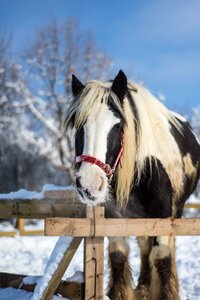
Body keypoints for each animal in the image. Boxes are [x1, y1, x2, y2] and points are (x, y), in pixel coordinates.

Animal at [64, 71, 200, 300]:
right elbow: (119, 256)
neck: (143, 166)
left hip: (175, 209)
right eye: (78, 124)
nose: (90, 184)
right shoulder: (116, 214)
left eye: (117, 125)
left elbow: (162, 256)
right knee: (144, 245)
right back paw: (144, 286)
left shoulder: (163, 213)